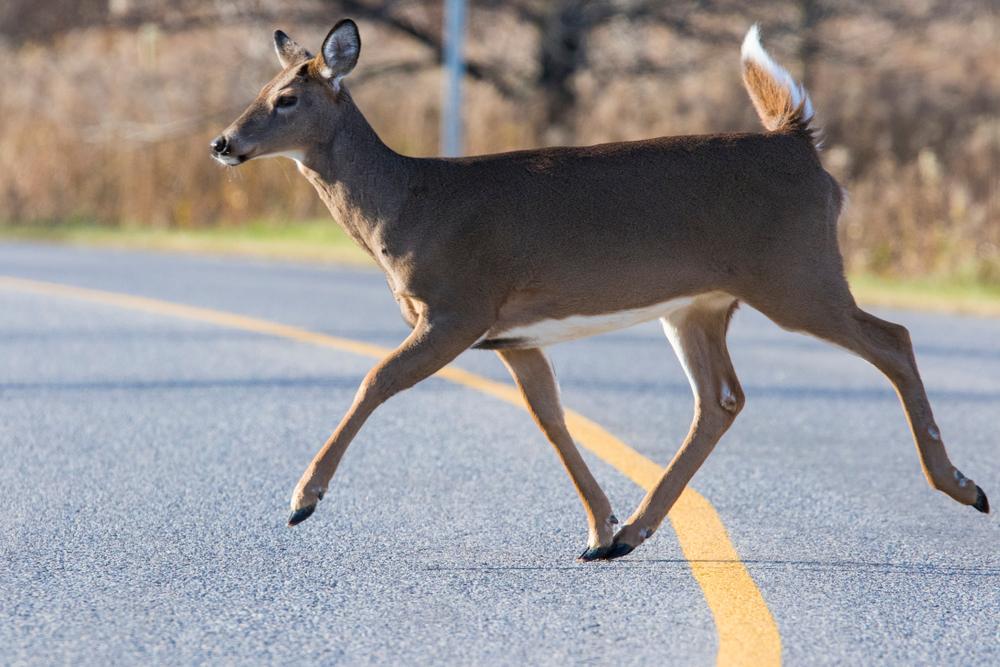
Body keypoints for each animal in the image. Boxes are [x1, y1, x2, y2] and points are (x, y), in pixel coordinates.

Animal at [211, 19, 989, 561]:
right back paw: (631, 534)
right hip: (701, 304)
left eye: (285, 98)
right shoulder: (513, 335)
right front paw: (598, 524)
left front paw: (302, 498)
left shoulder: (458, 306)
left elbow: (374, 378)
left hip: (798, 273)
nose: (222, 143)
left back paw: (962, 485)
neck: (406, 205)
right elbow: (551, 419)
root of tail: (798, 142)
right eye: (255, 92)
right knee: (722, 399)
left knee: (893, 338)